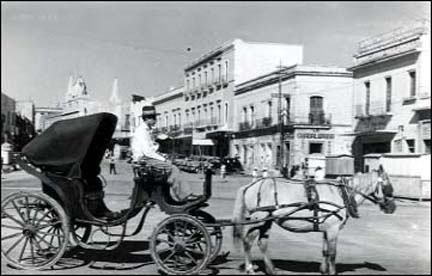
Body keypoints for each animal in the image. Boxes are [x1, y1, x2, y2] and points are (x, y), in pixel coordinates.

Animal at [231, 165, 396, 274]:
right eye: (387, 186)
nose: (392, 207)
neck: (341, 193)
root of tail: (252, 185)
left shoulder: (327, 230)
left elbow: (325, 251)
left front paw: (323, 270)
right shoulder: (333, 230)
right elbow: (332, 253)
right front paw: (331, 272)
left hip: (267, 220)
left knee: (262, 243)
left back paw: (271, 269)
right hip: (259, 219)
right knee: (248, 241)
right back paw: (250, 268)